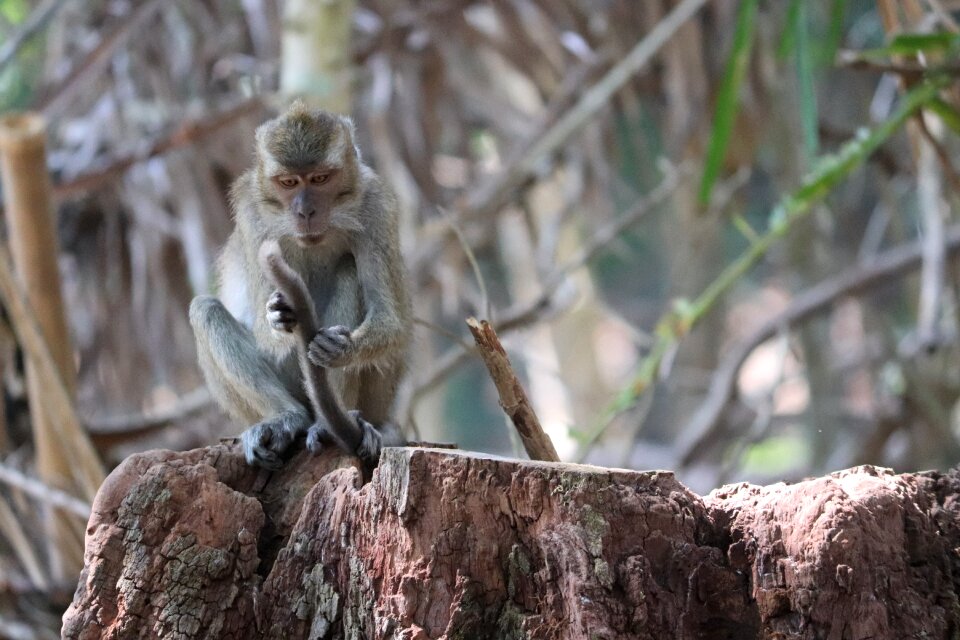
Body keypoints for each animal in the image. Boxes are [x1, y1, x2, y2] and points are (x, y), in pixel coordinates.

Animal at [189, 102, 410, 468]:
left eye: (320, 178)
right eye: (289, 182)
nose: (305, 211)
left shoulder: (376, 206)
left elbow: (390, 321)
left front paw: (341, 348)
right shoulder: (252, 215)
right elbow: (266, 335)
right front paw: (276, 315)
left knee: (349, 271)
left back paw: (329, 422)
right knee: (205, 309)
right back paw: (288, 417)